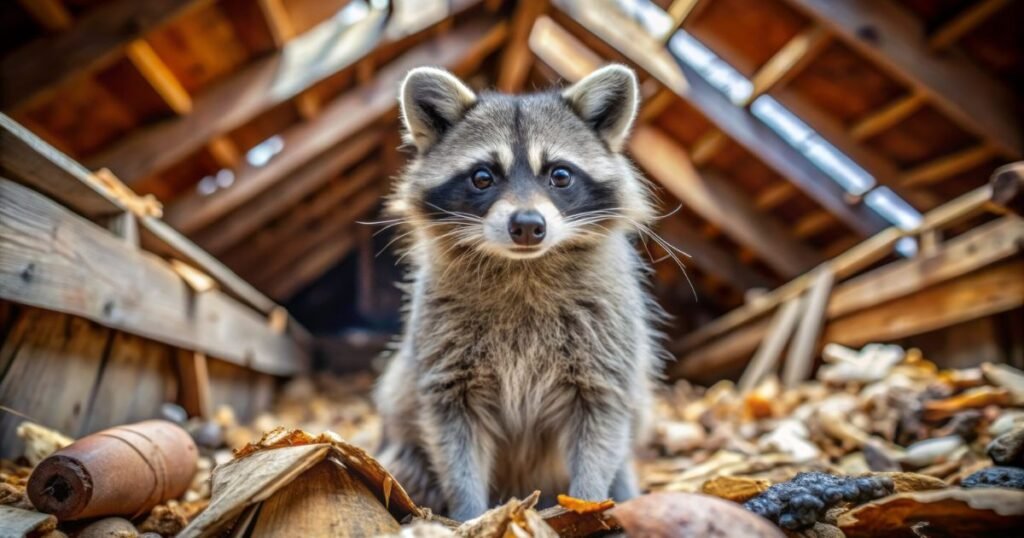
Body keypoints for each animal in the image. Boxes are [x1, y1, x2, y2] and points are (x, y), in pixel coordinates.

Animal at [373, 64, 667, 521]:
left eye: (560, 175)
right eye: (482, 177)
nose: (528, 225)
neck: (523, 267)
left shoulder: (606, 349)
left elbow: (601, 425)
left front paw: (587, 504)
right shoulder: (444, 361)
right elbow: (453, 435)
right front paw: (469, 514)